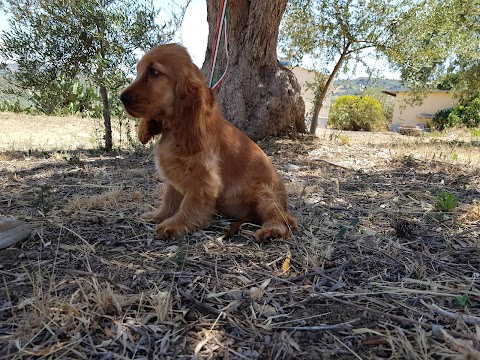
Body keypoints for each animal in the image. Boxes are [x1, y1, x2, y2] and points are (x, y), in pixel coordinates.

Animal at [120, 44, 296, 242]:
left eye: (153, 72)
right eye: (139, 71)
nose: (121, 98)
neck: (175, 130)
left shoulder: (203, 179)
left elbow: (190, 204)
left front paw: (175, 224)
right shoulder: (175, 176)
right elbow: (170, 200)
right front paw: (159, 215)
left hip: (264, 193)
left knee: (283, 219)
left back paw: (270, 230)